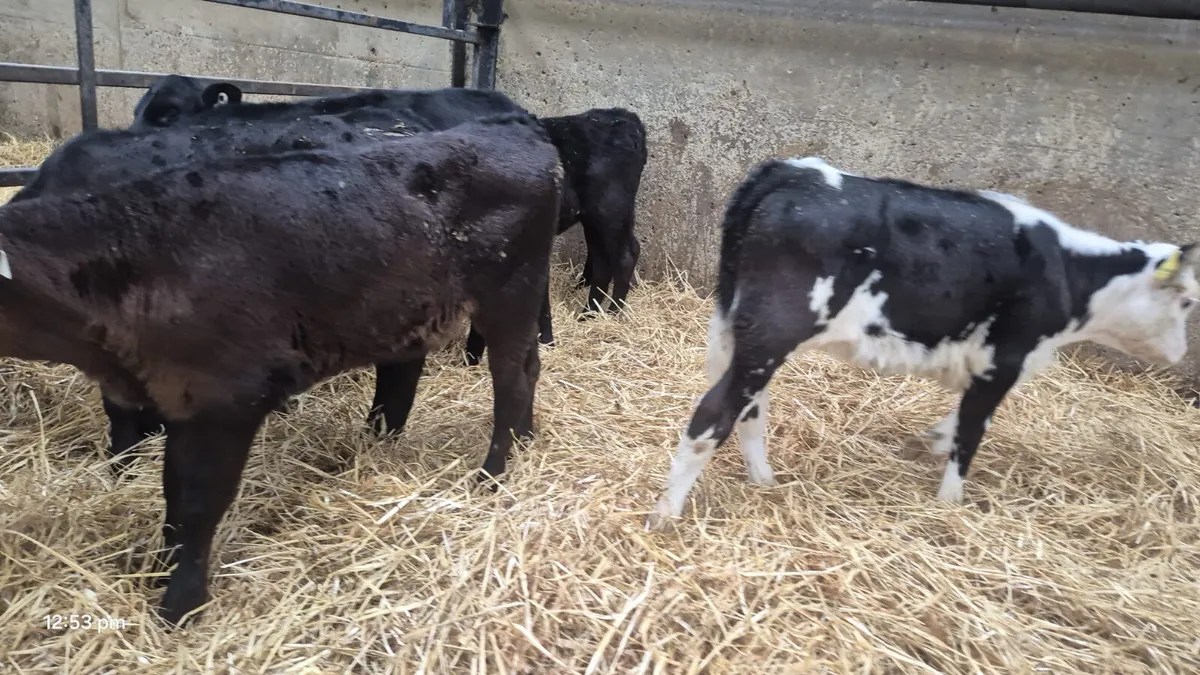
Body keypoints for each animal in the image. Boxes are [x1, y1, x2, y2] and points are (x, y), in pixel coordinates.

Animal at [0, 115, 563, 624]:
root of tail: (526, 136)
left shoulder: (228, 398)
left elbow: (198, 503)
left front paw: (180, 604)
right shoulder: (176, 397)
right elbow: (172, 493)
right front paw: (161, 570)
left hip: (510, 291)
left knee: (511, 380)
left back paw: (493, 474)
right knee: (525, 369)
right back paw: (524, 442)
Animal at [646, 156, 1199, 530]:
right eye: (1188, 301)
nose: (1178, 354)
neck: (1072, 271)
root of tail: (789, 171)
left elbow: (956, 424)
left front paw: (928, 441)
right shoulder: (1003, 360)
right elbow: (970, 433)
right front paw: (950, 502)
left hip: (741, 331)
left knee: (750, 408)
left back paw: (765, 482)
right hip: (772, 331)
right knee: (713, 415)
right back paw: (666, 515)